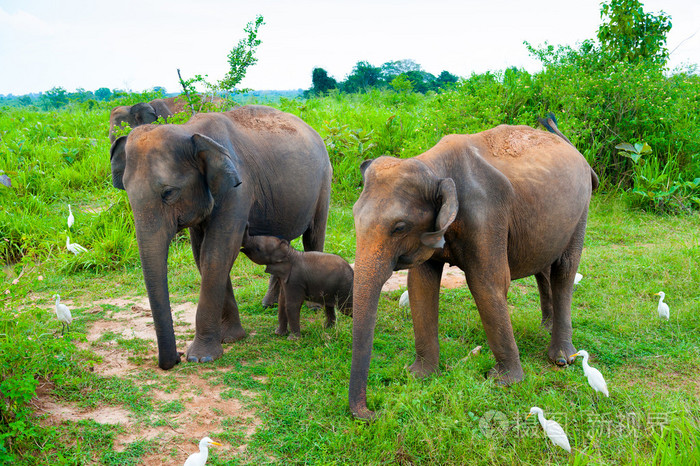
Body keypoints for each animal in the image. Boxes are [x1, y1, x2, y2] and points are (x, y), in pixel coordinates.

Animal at [110, 104, 334, 370]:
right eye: (127, 193)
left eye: (169, 193)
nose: (175, 358)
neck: (189, 130)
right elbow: (202, 254)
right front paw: (231, 338)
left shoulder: (238, 189)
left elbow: (218, 252)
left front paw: (201, 357)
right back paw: (268, 304)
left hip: (324, 179)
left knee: (314, 235)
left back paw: (313, 306)